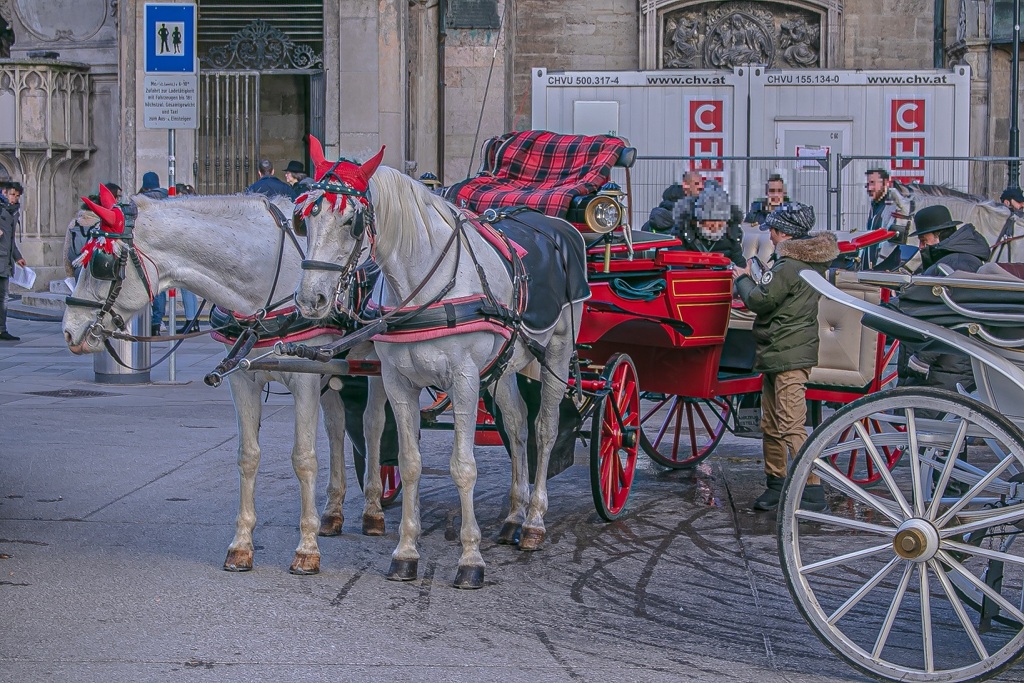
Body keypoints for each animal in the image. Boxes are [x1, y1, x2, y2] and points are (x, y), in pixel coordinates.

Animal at [61, 184, 391, 573]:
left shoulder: (304, 380)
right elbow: (248, 456)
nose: (69, 331)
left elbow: (304, 458)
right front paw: (241, 545)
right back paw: (333, 512)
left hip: (377, 363)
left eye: (101, 265)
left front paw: (306, 549)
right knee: (337, 428)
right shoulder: (244, 380)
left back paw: (373, 510)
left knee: (372, 425)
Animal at [294, 137, 585, 589]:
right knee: (517, 425)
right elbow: (410, 463)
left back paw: (534, 521)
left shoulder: (464, 380)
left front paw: (470, 559)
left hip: (557, 349)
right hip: (504, 365)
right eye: (304, 219)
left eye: (352, 223)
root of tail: (560, 226)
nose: (312, 300)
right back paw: (513, 516)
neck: (423, 283)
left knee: (546, 428)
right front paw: (405, 552)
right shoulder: (399, 382)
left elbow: (463, 467)